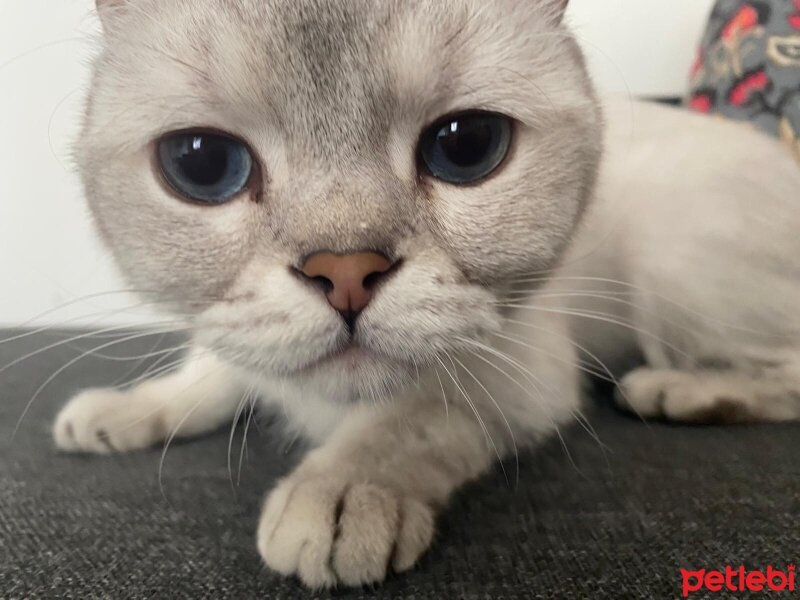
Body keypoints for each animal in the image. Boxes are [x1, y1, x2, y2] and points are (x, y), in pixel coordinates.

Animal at [53, 0, 800, 592]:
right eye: (202, 163)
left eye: (466, 146)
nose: (345, 273)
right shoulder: (237, 337)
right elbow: (209, 374)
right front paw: (125, 411)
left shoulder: (522, 373)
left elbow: (404, 422)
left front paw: (340, 495)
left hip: (670, 270)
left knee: (783, 373)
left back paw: (676, 391)